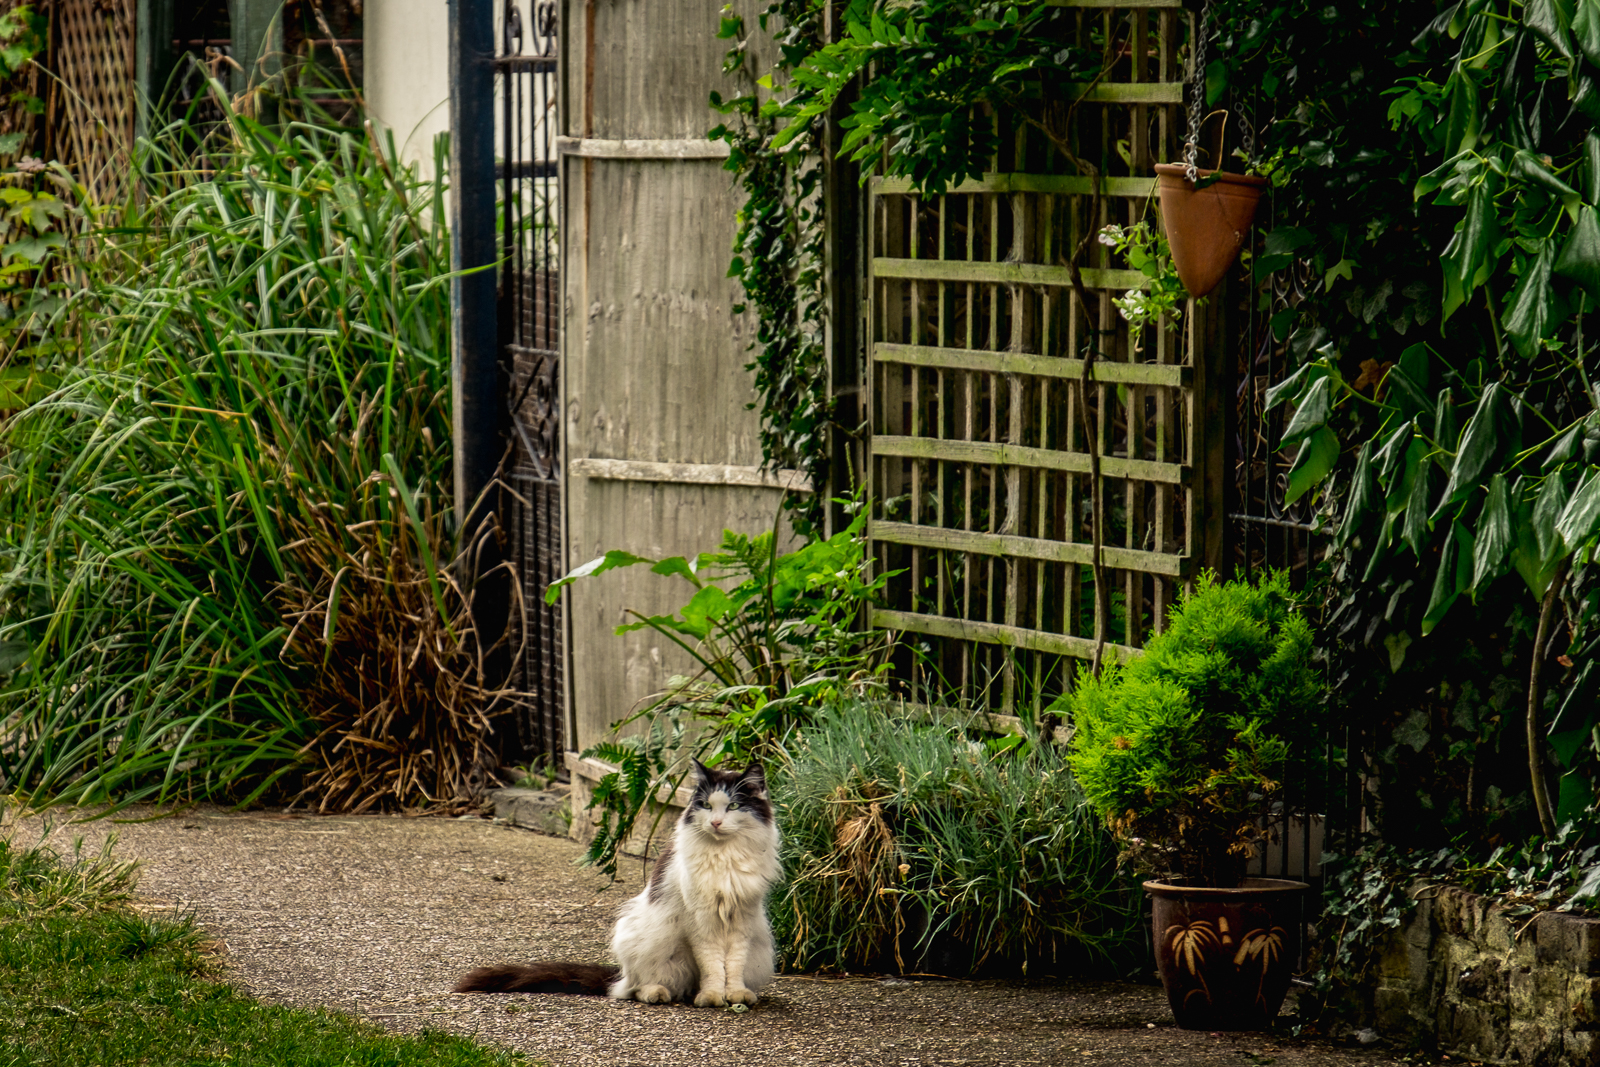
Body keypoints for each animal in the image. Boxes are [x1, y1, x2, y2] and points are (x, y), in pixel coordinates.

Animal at [451, 764, 780, 1004]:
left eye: (733, 806)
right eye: (705, 805)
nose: (715, 823)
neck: (725, 856)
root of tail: (619, 975)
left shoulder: (742, 918)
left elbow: (733, 964)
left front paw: (734, 994)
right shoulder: (701, 922)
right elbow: (712, 965)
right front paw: (712, 996)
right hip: (647, 939)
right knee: (633, 989)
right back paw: (658, 993)